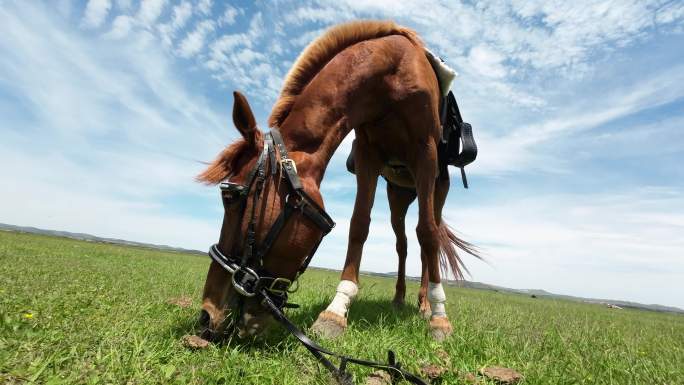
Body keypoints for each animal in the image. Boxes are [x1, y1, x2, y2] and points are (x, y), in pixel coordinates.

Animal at [196, 19, 476, 340]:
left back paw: (425, 305)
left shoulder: (425, 154)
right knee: (402, 244)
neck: (391, 75)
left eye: (230, 196)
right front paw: (336, 311)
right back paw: (398, 299)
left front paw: (440, 318)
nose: (206, 315)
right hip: (397, 195)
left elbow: (428, 233)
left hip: (436, 187)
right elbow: (359, 225)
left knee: (427, 236)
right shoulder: (368, 156)